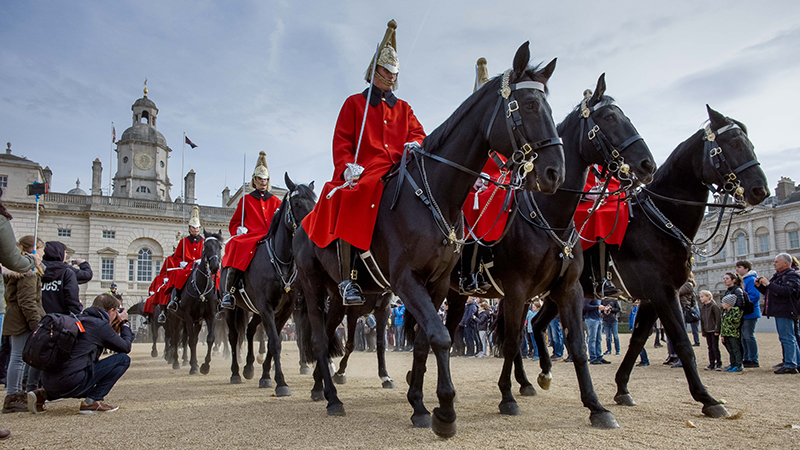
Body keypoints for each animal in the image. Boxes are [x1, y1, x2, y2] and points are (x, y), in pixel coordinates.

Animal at [166, 230, 222, 374]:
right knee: (176, 338)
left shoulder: (210, 316)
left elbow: (209, 339)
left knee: (191, 339)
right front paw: (194, 367)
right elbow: (190, 340)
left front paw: (204, 366)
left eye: (220, 247)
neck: (202, 289)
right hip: (176, 319)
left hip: (197, 321)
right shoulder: (188, 316)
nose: (214, 267)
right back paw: (176, 362)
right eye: (206, 247)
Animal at [225, 174, 316, 396]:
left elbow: (276, 341)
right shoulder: (266, 307)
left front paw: (266, 376)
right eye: (297, 202)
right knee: (234, 336)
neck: (282, 261)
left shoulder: (283, 309)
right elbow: (274, 342)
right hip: (231, 309)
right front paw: (281, 382)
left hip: (255, 310)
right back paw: (235, 372)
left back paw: (249, 367)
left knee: (249, 331)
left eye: (315, 201)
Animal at [296, 42, 564, 436]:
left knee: (330, 334)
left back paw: (321, 386)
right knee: (317, 337)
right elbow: (440, 336)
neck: (434, 192)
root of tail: (304, 221)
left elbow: (425, 341)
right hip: (314, 286)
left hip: (337, 293)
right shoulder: (406, 281)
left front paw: (420, 404)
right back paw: (331, 398)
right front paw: (445, 411)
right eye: (529, 105)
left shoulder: (436, 284)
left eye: (550, 106)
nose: (555, 173)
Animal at [438, 74, 656, 428]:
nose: (647, 164)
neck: (552, 217)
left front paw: (596, 406)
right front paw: (507, 397)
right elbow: (513, 341)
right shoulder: (516, 290)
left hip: (461, 295)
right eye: (610, 117)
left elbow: (577, 345)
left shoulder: (568, 291)